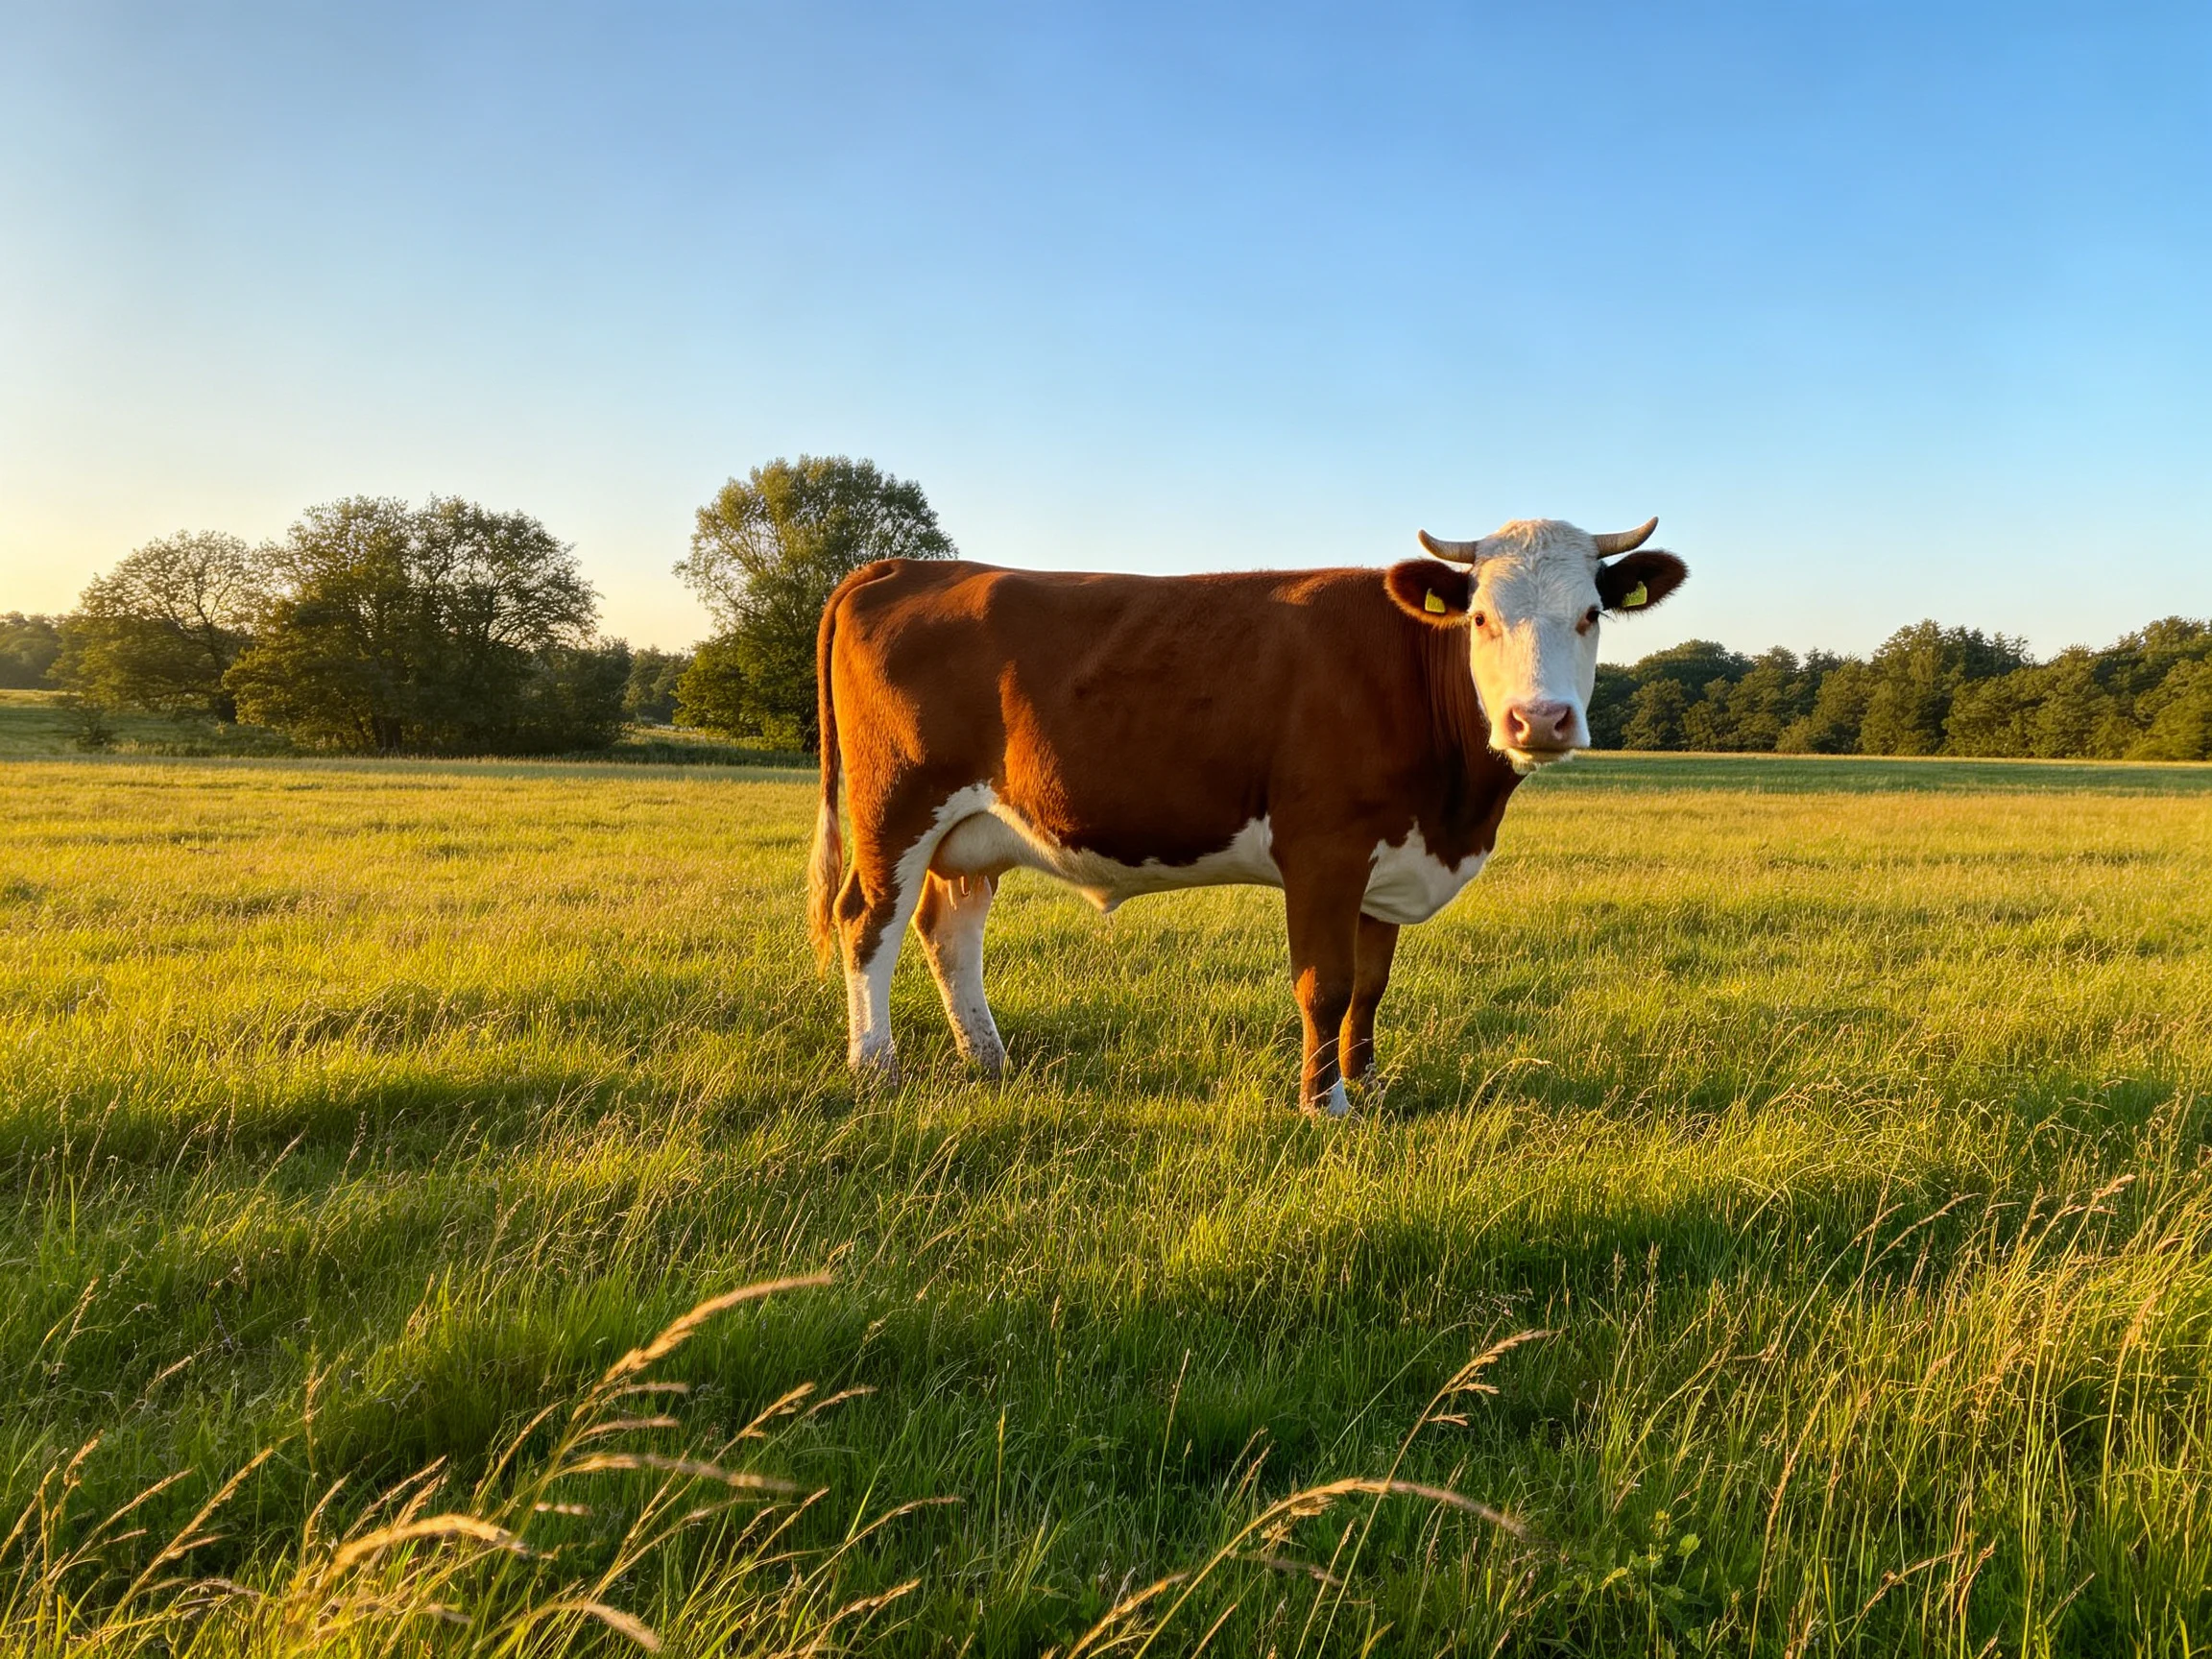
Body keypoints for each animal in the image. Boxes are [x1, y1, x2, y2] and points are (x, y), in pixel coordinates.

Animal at [807, 516, 1689, 1114]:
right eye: (1480, 619)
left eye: (1591, 614)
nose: (1539, 720)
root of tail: (903, 567)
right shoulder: (1324, 849)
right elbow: (1325, 984)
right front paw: (1323, 1106)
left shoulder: (1389, 857)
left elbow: (1372, 985)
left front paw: (1367, 1086)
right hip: (896, 807)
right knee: (867, 923)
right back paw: (875, 1068)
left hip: (972, 832)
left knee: (948, 931)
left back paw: (988, 1061)